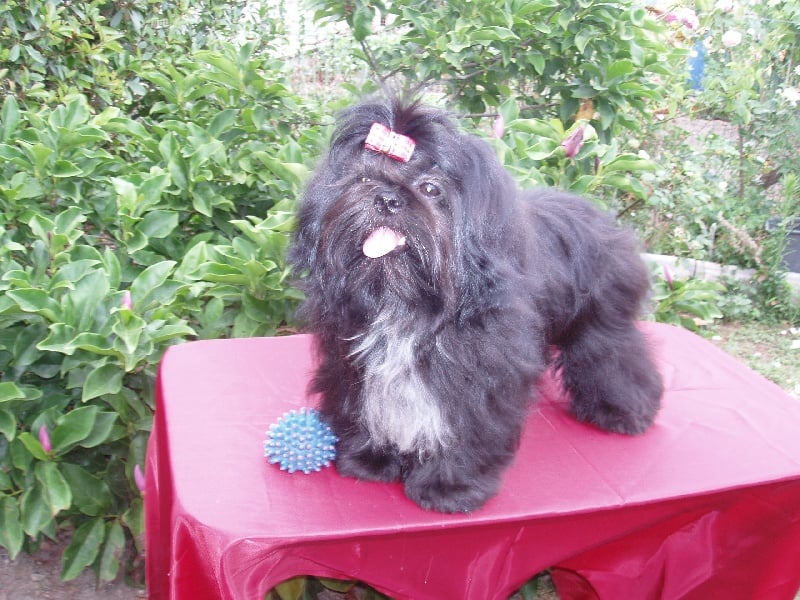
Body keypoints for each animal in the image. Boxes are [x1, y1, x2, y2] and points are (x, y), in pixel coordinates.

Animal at [288, 97, 663, 513]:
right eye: (364, 179)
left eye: (431, 188)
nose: (386, 199)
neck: (407, 299)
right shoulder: (352, 362)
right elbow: (367, 404)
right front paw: (372, 457)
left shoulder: (480, 374)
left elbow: (466, 426)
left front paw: (448, 486)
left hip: (600, 322)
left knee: (614, 357)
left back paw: (623, 411)